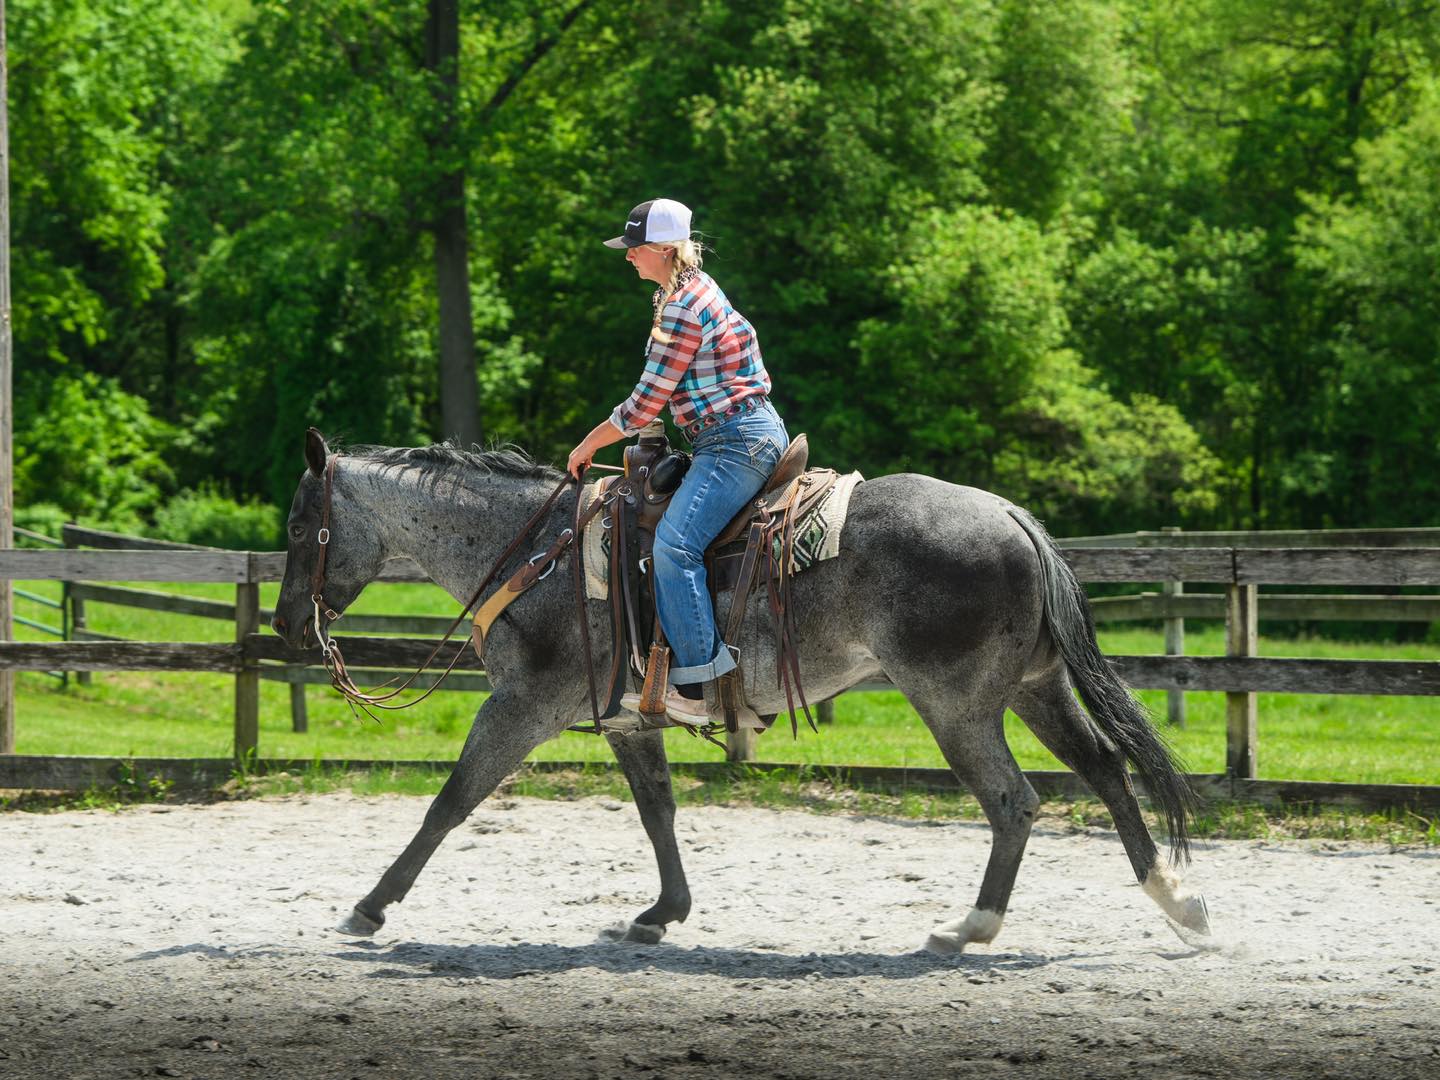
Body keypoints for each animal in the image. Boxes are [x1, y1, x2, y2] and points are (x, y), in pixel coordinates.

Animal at [271, 429, 1212, 953]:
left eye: (297, 522)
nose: (287, 628)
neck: (536, 553)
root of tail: (1015, 518)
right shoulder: (626, 717)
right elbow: (657, 811)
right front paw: (662, 913)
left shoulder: (522, 707)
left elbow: (451, 801)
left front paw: (369, 908)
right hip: (1032, 689)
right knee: (1105, 771)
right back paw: (1178, 903)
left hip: (957, 705)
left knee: (1015, 802)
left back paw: (967, 928)